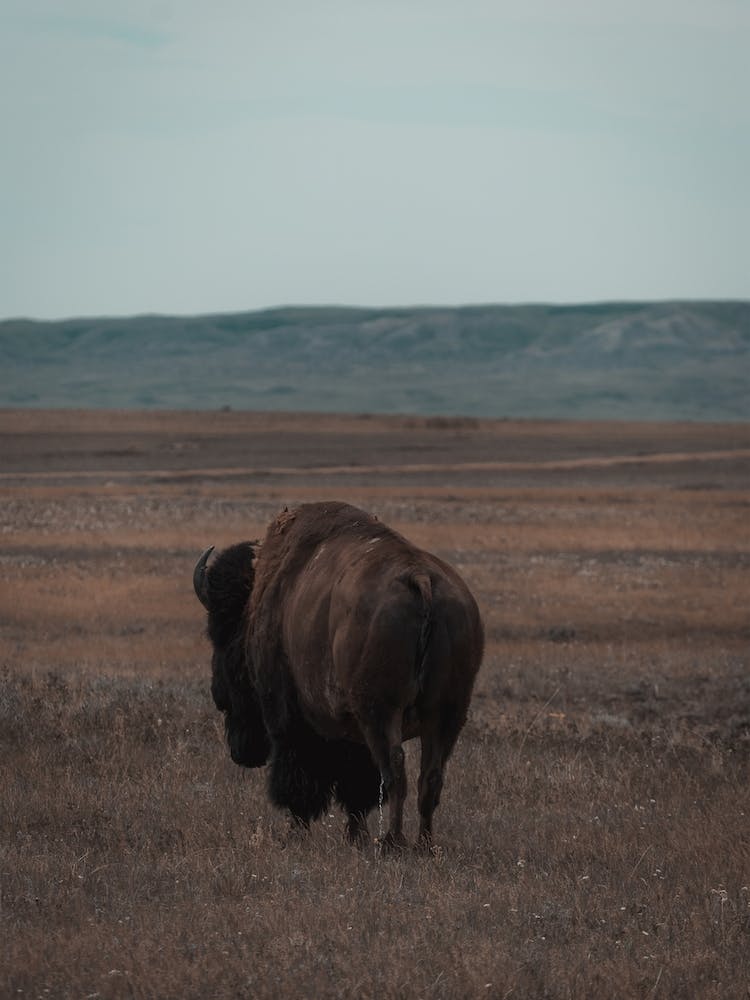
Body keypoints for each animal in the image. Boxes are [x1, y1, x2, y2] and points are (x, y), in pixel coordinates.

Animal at [193, 501, 483, 850]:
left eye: (221, 634)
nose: (217, 693)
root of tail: (421, 578)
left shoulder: (291, 722)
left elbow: (301, 781)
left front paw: (298, 833)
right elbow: (357, 788)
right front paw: (355, 835)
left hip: (381, 713)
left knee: (395, 770)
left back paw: (392, 843)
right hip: (447, 714)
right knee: (430, 776)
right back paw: (423, 845)